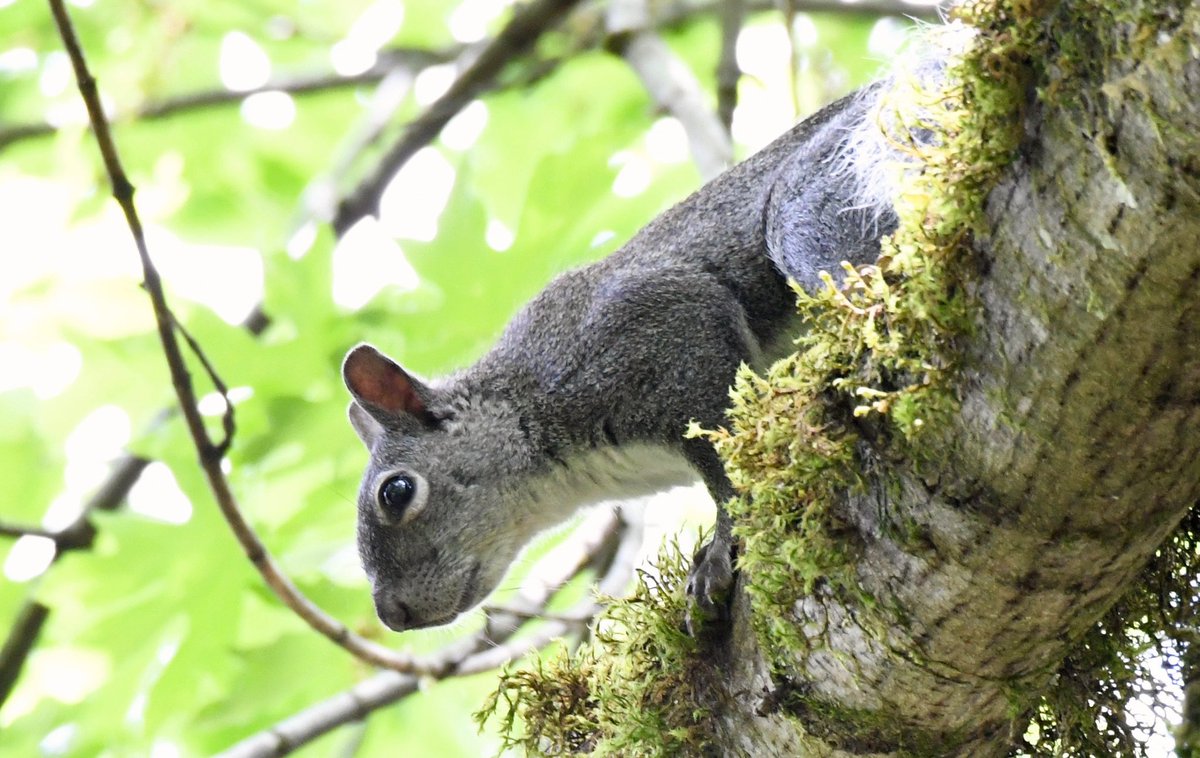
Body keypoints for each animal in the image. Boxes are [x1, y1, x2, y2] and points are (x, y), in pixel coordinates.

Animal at [342, 81, 900, 633]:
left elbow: (726, 465)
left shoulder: (659, 331)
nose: (392, 615)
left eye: (396, 492)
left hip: (817, 201)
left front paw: (720, 548)